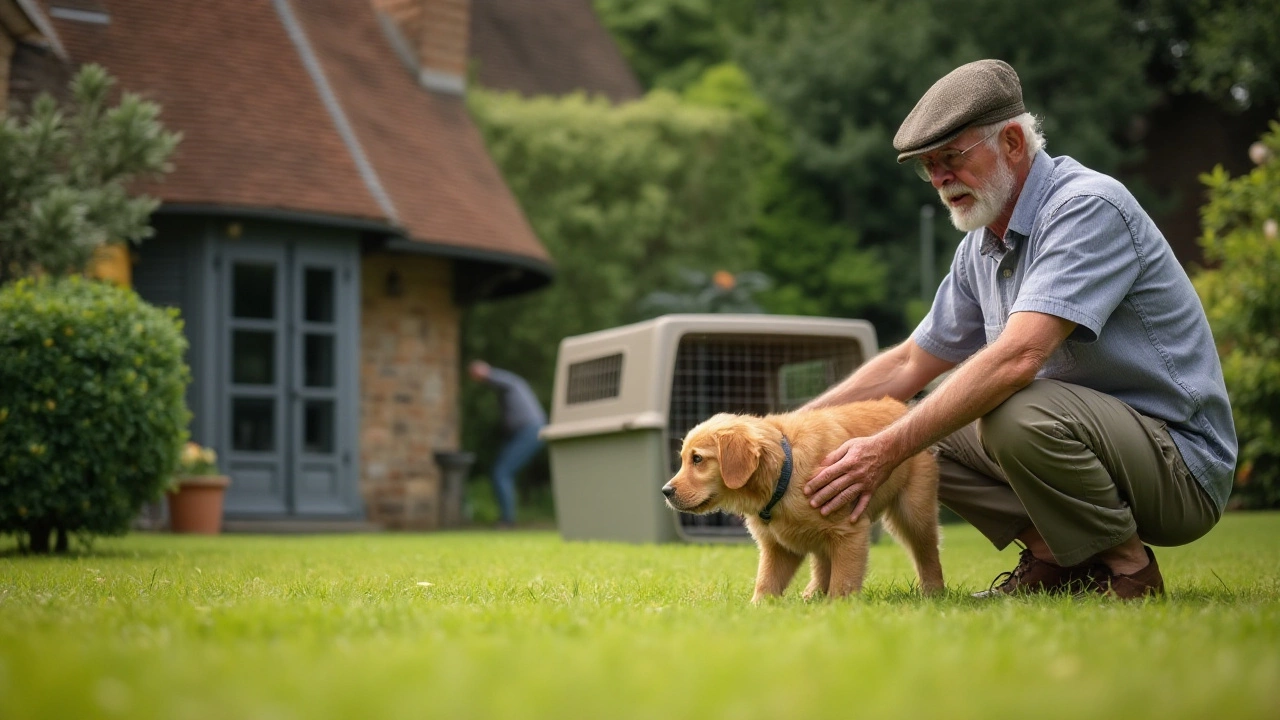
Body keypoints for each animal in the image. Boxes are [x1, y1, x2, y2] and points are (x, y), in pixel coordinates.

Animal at [665, 397, 947, 599]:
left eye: (697, 459)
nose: (665, 491)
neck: (784, 473)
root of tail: (904, 406)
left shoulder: (849, 532)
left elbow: (843, 581)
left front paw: (839, 610)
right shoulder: (778, 546)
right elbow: (766, 582)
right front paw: (757, 610)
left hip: (914, 509)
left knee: (926, 550)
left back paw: (933, 593)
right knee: (822, 562)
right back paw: (811, 596)